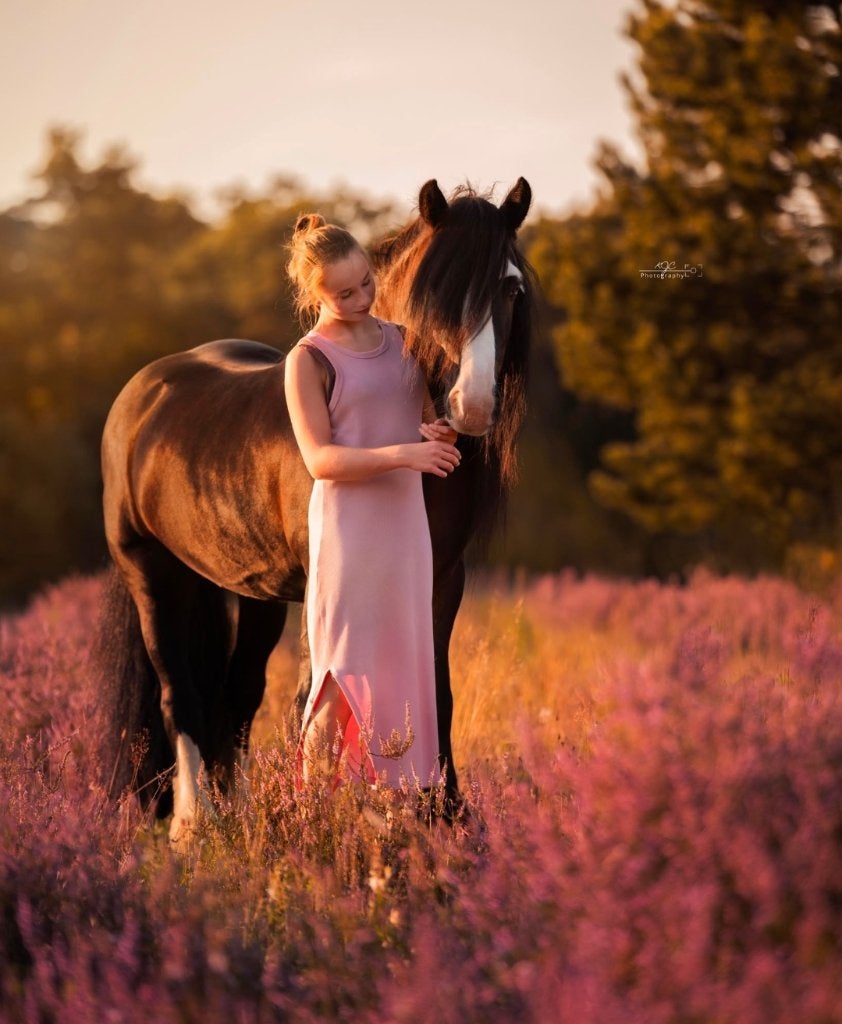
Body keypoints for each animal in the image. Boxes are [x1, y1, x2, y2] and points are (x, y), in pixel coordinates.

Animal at [98, 177, 534, 842]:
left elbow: (436, 689)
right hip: (153, 575)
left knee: (238, 695)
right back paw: (194, 826)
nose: (472, 406)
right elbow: (315, 692)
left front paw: (443, 813)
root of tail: (140, 393)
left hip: (250, 592)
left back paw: (245, 817)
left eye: (509, 287)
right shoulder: (319, 591)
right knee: (181, 695)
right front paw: (338, 820)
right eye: (434, 288)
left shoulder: (444, 579)